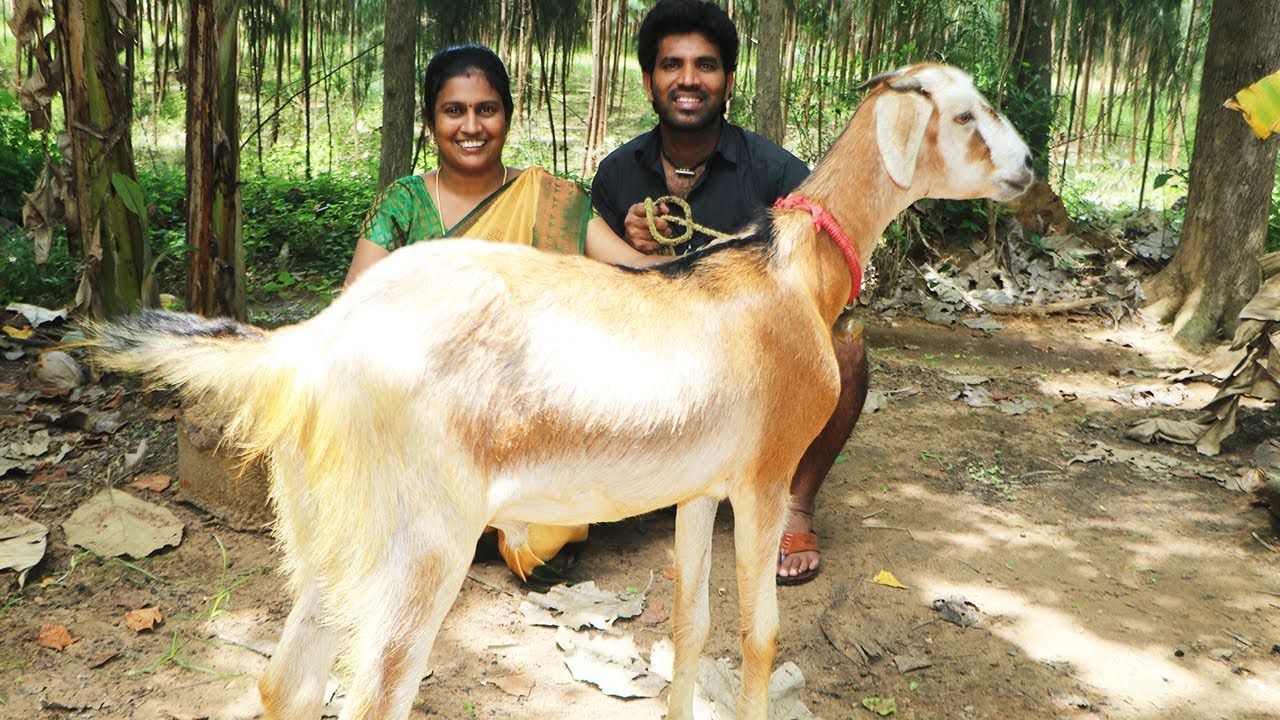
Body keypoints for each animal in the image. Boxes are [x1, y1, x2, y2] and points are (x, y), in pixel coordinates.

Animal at [84, 63, 1032, 720]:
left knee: (286, 684)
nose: (1027, 168)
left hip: (329, 527)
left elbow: (690, 625)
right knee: (374, 695)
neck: (790, 272)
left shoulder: (700, 489)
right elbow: (759, 637)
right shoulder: (763, 477)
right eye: (964, 113)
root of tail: (318, 341)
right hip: (421, 541)